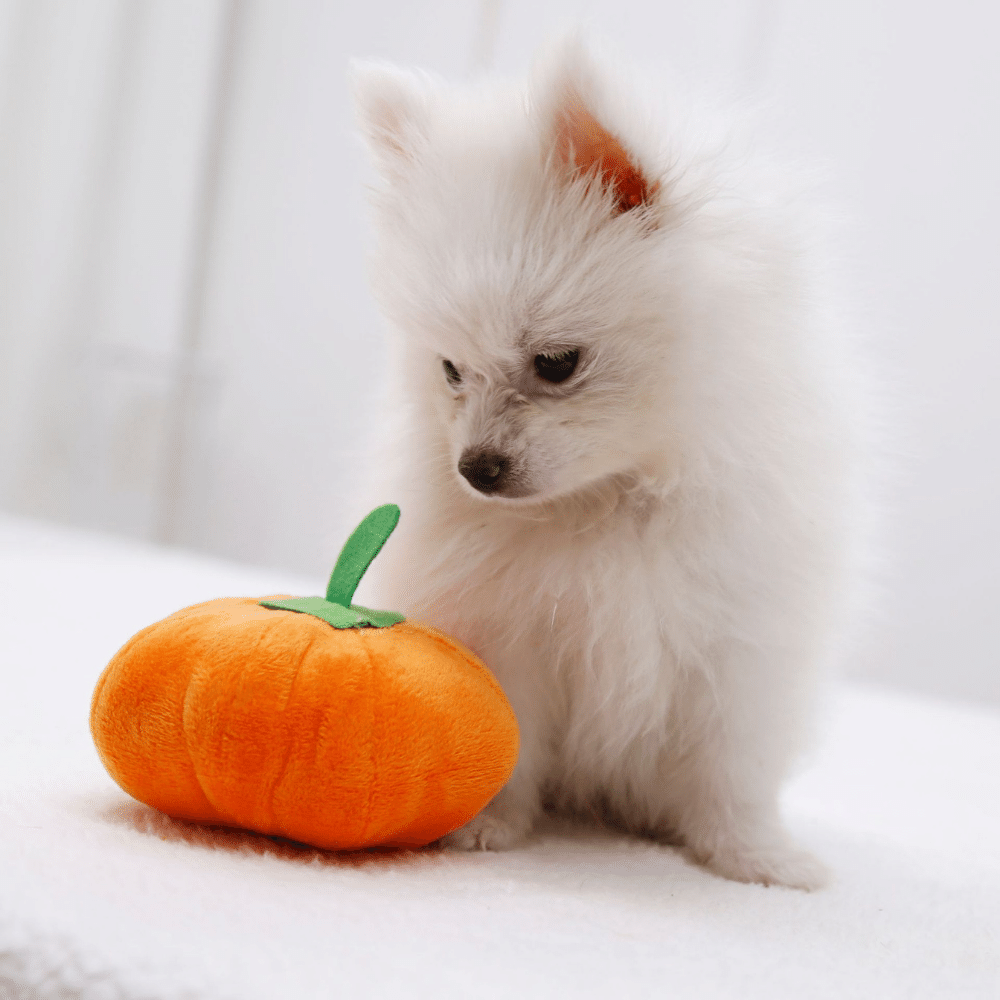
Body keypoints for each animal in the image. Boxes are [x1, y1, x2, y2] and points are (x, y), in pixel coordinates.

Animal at [350, 37, 860, 892]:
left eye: (557, 363)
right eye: (451, 371)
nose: (475, 469)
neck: (609, 500)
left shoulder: (739, 652)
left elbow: (732, 771)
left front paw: (757, 858)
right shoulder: (506, 635)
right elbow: (506, 736)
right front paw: (487, 824)